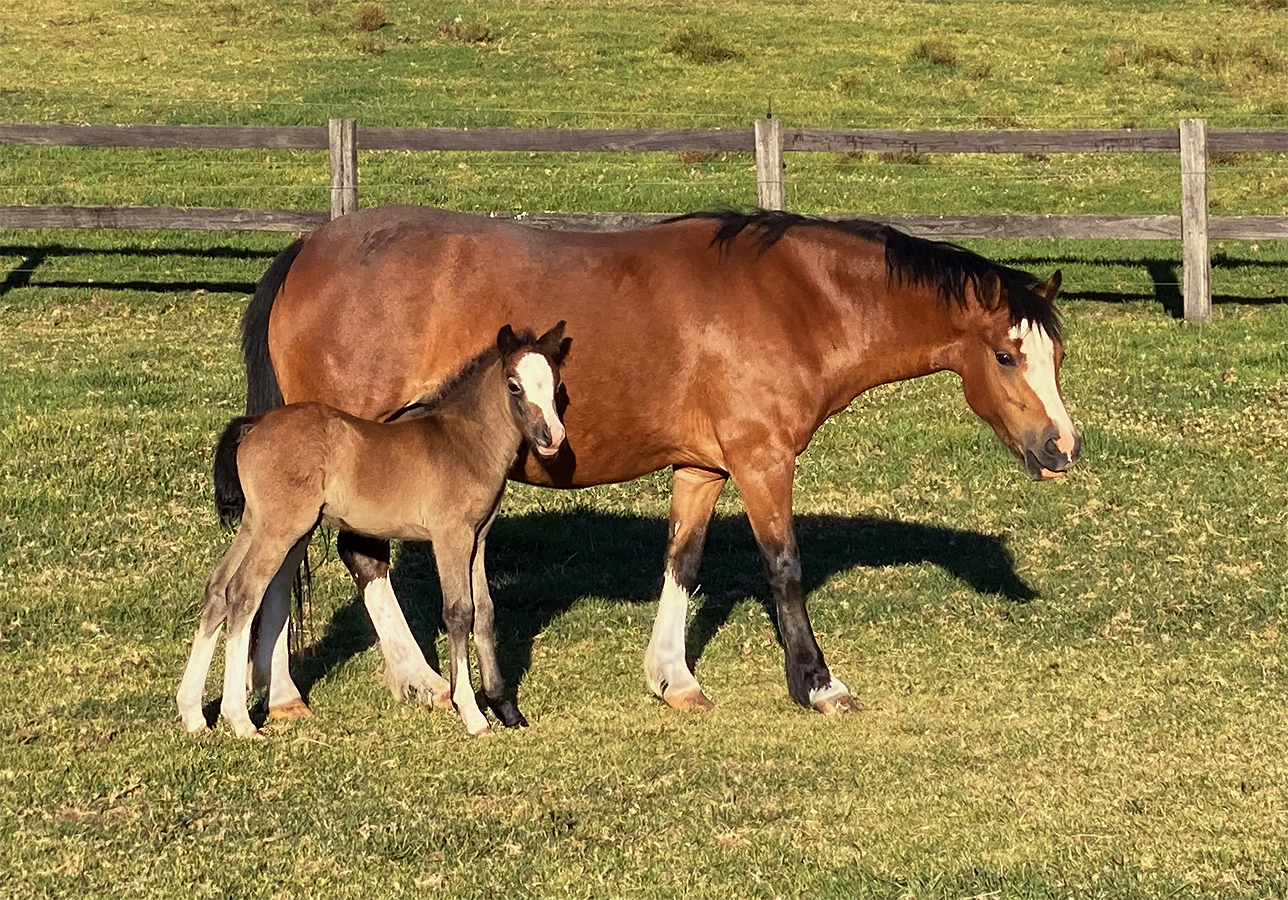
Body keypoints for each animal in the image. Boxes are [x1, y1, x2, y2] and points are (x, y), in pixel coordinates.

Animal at [177, 322, 570, 737]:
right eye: (514, 385)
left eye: (557, 383)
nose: (552, 436)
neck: (462, 443)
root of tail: (255, 424)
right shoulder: (451, 537)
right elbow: (459, 612)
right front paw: (472, 713)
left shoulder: (477, 539)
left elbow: (484, 610)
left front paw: (506, 710)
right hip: (280, 528)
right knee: (242, 594)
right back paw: (239, 719)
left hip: (256, 523)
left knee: (218, 588)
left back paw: (193, 714)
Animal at [241, 206, 1079, 718]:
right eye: (1007, 355)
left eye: (1058, 355)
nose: (1063, 448)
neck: (792, 301)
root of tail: (310, 248)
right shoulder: (763, 461)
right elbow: (785, 568)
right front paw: (817, 683)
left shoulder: (704, 469)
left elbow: (683, 561)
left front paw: (673, 677)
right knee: (319, 561)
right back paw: (362, 686)